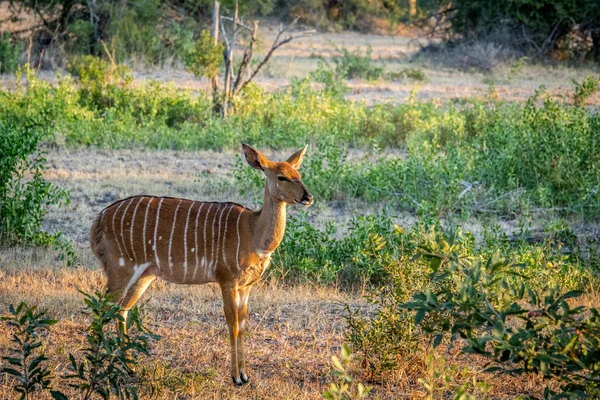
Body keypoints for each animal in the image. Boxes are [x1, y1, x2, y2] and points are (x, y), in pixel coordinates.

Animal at [91, 144, 314, 384]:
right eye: (282, 177)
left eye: (299, 174)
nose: (308, 197)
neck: (253, 232)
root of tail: (98, 220)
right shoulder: (227, 280)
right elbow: (233, 326)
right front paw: (236, 378)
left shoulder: (246, 286)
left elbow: (243, 326)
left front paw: (246, 376)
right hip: (120, 269)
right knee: (102, 309)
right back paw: (95, 368)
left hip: (144, 275)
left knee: (121, 310)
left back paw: (129, 367)